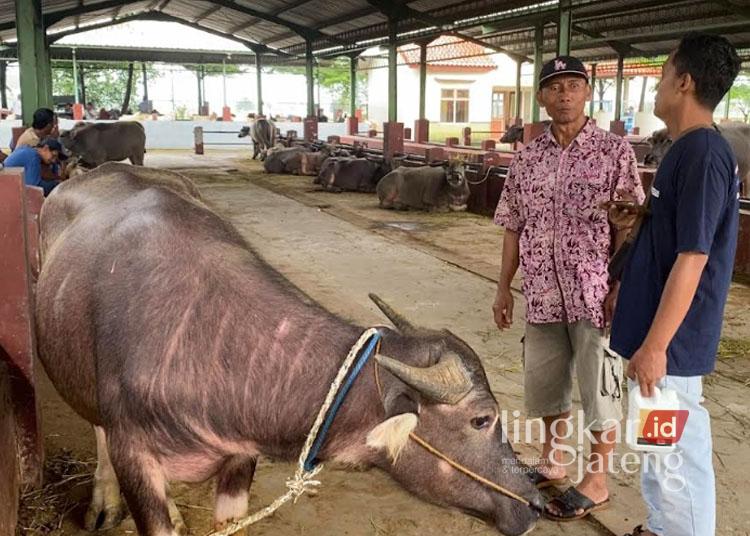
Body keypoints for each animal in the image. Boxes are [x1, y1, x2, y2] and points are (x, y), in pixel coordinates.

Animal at [36, 163, 540, 536]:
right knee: (97, 430)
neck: (208, 338)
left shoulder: (240, 458)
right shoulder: (134, 456)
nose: (536, 503)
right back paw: (104, 504)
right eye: (482, 419)